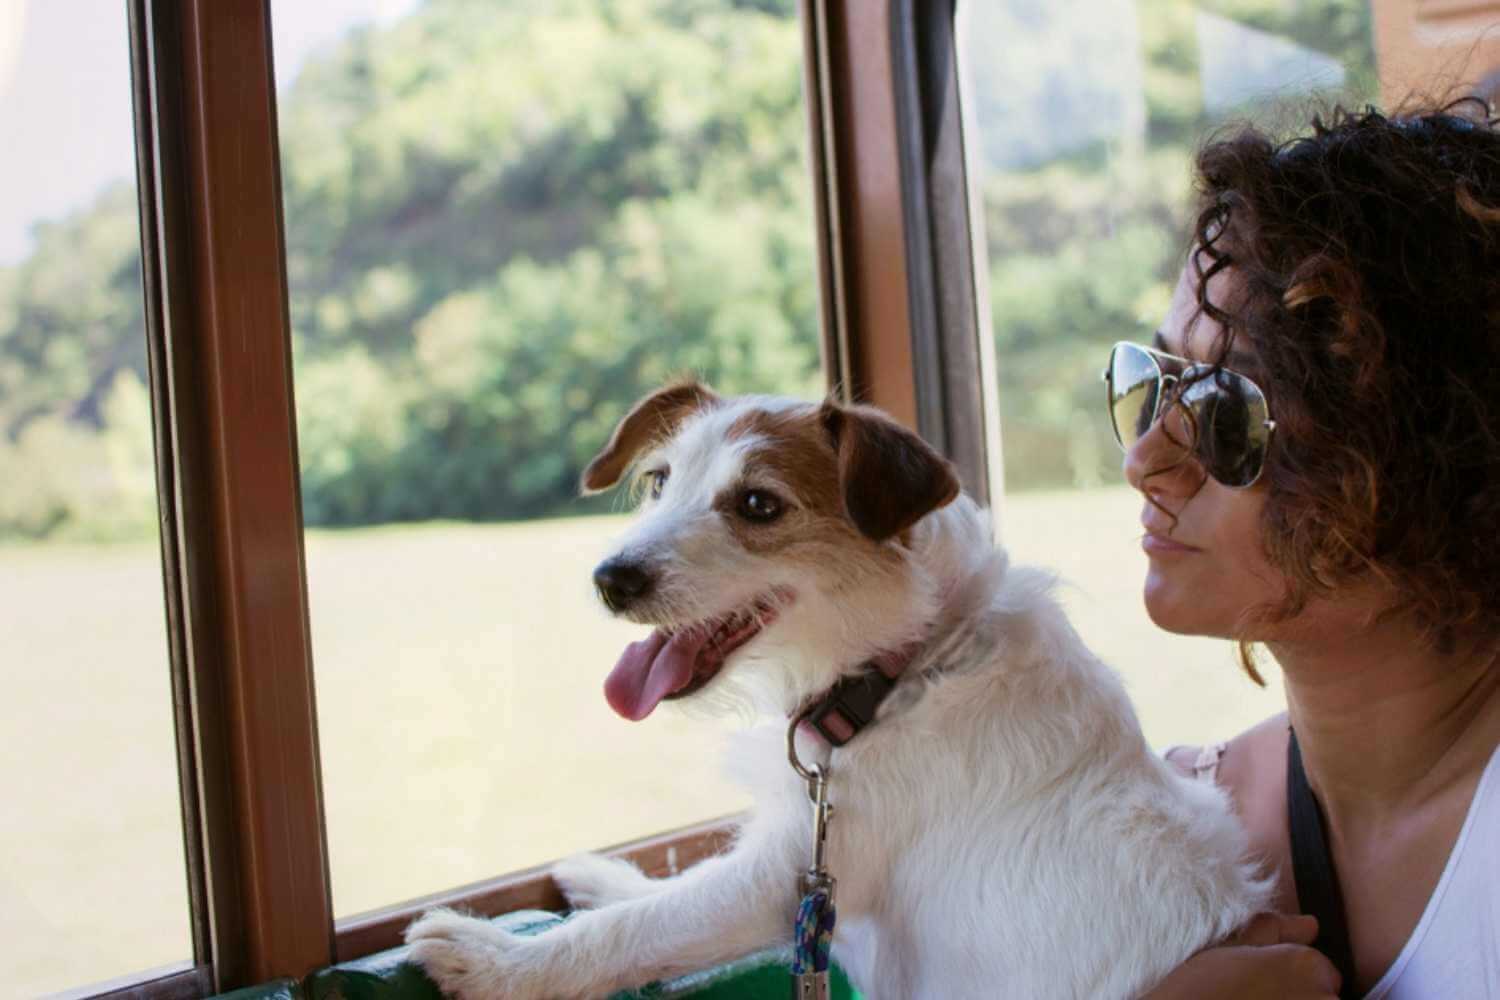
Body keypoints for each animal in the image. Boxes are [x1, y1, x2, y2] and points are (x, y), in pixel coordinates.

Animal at [408, 383, 1266, 1000]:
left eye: (759, 504)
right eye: (658, 482)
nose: (610, 579)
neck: (903, 669)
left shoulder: (784, 878)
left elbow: (641, 928)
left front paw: (494, 963)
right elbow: (660, 893)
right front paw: (601, 879)